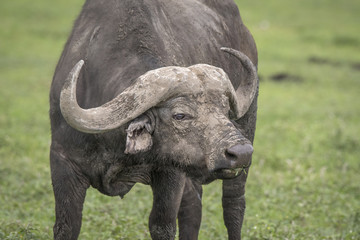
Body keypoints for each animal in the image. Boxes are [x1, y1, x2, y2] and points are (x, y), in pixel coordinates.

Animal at [50, 0, 258, 239]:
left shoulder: (170, 172)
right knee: (193, 207)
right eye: (180, 115)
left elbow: (162, 225)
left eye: (225, 110)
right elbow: (67, 226)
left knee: (233, 205)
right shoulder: (62, 160)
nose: (242, 152)